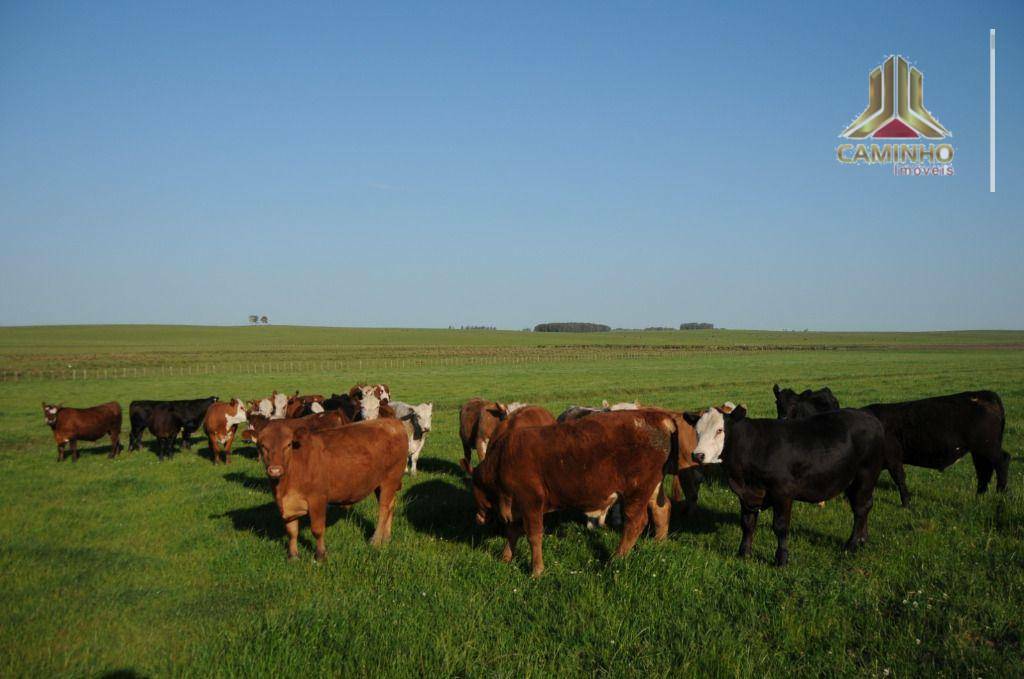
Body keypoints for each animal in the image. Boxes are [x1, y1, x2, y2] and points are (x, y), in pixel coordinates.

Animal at [256, 417, 407, 561]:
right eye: (262, 446)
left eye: (288, 445)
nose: (275, 470)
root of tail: (393, 422)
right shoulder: (289, 505)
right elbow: (292, 531)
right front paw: (293, 556)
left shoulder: (318, 498)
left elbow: (317, 530)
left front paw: (320, 555)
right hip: (380, 484)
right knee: (391, 506)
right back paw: (386, 538)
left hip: (390, 479)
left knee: (383, 509)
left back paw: (375, 540)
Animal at [688, 403, 888, 569]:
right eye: (697, 432)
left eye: (719, 430)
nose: (698, 455)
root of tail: (870, 417)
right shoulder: (746, 495)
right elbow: (747, 524)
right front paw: (743, 553)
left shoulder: (782, 492)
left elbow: (780, 526)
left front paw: (781, 559)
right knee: (863, 506)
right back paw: (863, 540)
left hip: (866, 475)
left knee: (861, 508)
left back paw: (852, 544)